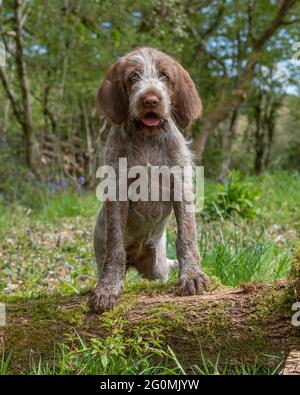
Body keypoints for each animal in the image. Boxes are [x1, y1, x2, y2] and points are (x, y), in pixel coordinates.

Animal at [90, 47, 210, 312]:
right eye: (133, 77)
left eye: (165, 76)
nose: (151, 100)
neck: (147, 137)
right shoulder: (117, 191)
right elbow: (115, 247)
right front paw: (108, 288)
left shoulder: (181, 185)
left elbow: (187, 237)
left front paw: (192, 275)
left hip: (157, 268)